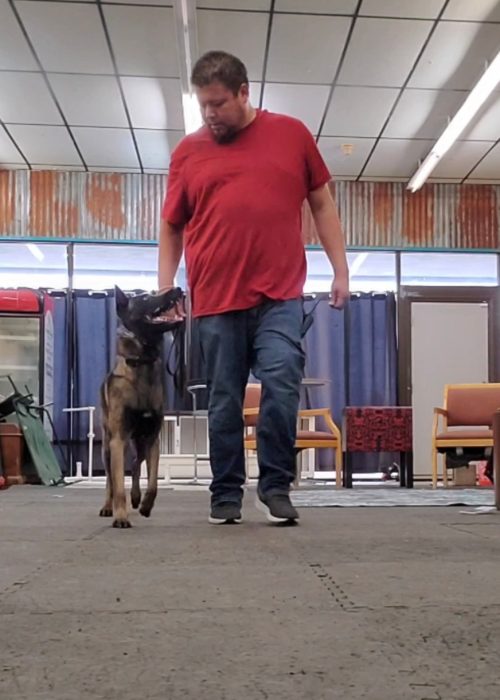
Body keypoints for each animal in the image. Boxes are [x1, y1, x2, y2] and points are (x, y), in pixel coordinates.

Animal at [98, 284, 183, 524]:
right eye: (145, 298)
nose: (178, 289)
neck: (142, 362)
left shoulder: (153, 439)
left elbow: (153, 482)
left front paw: (145, 505)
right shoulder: (118, 440)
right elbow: (118, 485)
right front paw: (121, 517)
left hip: (140, 442)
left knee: (136, 463)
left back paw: (136, 497)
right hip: (108, 446)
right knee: (110, 479)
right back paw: (108, 507)